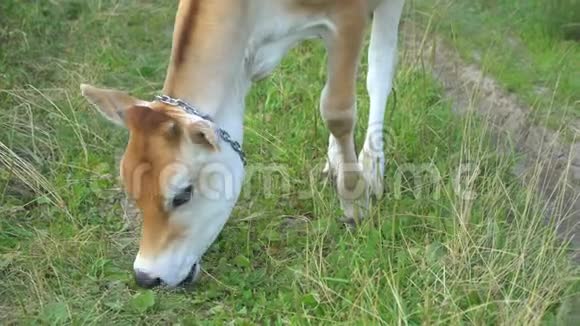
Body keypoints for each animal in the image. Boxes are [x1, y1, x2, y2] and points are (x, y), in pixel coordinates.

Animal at [80, 0, 404, 288]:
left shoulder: (349, 17)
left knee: (379, 69)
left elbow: (338, 109)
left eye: (182, 194)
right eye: (131, 192)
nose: (146, 277)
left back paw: (371, 167)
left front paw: (355, 199)